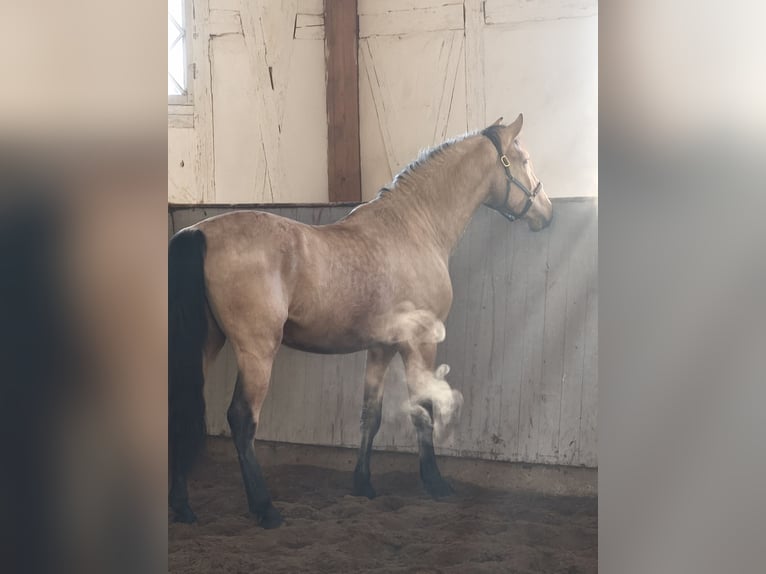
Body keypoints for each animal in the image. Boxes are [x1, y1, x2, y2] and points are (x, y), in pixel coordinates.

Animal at [168, 114, 553, 528]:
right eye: (525, 160)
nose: (548, 213)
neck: (414, 229)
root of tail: (197, 231)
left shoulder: (382, 346)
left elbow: (371, 414)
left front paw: (364, 484)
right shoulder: (420, 343)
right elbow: (423, 410)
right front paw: (436, 484)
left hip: (207, 344)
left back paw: (183, 507)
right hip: (256, 351)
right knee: (242, 419)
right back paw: (265, 508)